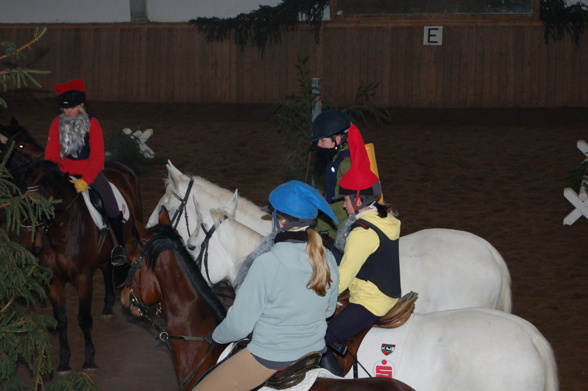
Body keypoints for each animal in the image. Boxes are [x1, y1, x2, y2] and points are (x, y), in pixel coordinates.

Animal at [0, 118, 144, 374]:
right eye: (20, 207)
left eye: (23, 144)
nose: (31, 245)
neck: (60, 226)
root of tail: (122, 168)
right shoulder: (53, 280)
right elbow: (61, 320)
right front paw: (64, 362)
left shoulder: (83, 277)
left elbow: (83, 319)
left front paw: (89, 360)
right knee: (105, 265)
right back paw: (108, 305)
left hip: (129, 237)